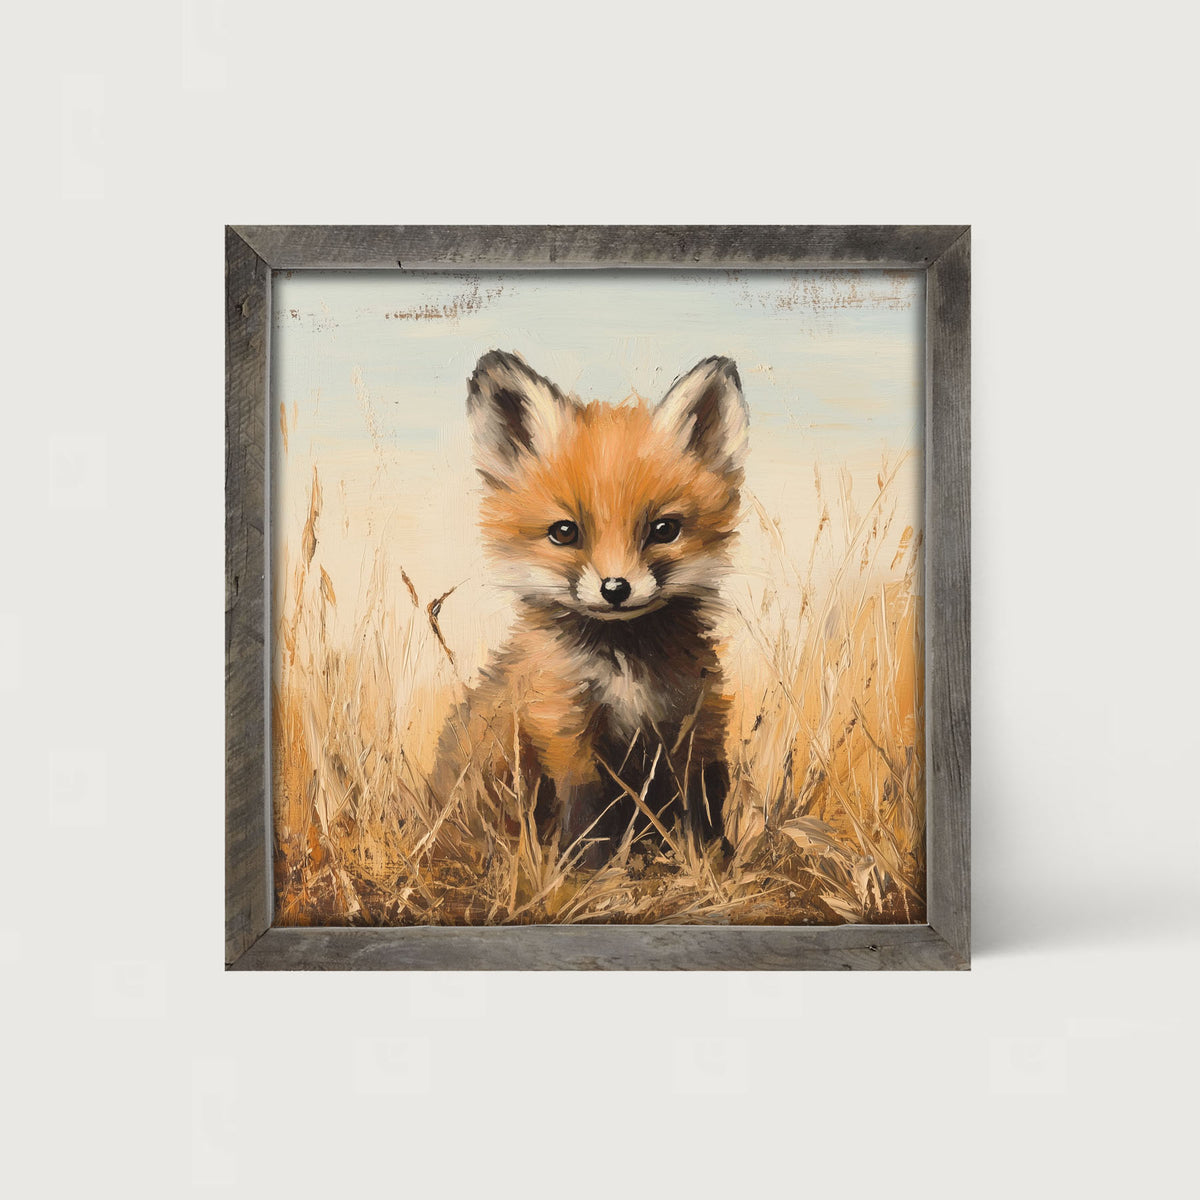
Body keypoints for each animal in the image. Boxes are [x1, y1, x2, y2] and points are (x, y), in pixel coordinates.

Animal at [433, 348, 749, 868]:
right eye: (565, 532)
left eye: (664, 529)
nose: (615, 588)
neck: (625, 667)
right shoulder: (562, 725)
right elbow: (588, 811)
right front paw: (595, 872)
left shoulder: (693, 720)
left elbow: (702, 804)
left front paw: (709, 863)